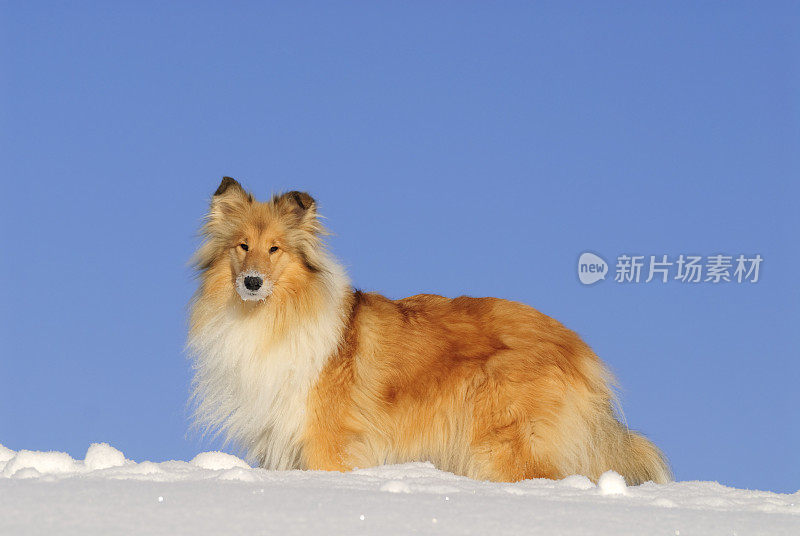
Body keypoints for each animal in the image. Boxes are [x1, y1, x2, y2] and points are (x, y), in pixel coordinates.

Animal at [188, 178, 668, 484]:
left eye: (275, 249)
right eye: (242, 246)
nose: (252, 283)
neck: (276, 316)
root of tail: (579, 347)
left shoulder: (327, 442)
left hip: (505, 444)